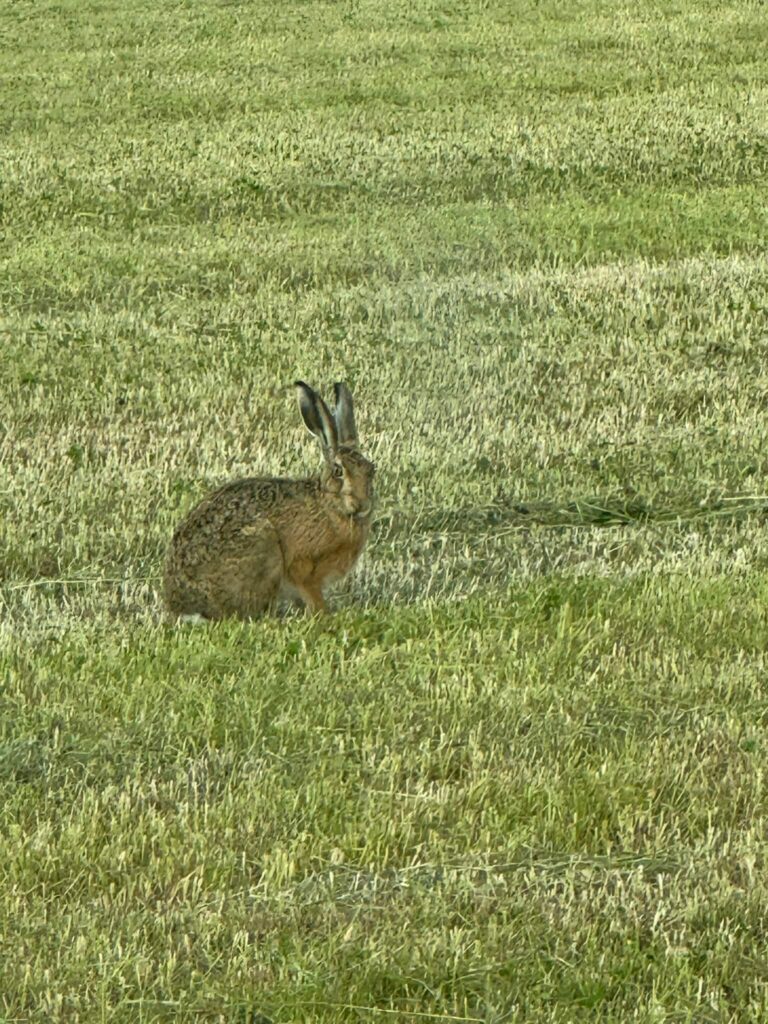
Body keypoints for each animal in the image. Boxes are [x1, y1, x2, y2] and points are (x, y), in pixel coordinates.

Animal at [163, 381, 375, 622]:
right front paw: (324, 615)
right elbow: (312, 596)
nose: (362, 505)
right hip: (264, 548)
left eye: (372, 470)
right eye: (339, 471)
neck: (330, 506)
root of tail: (182, 605)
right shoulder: (305, 569)